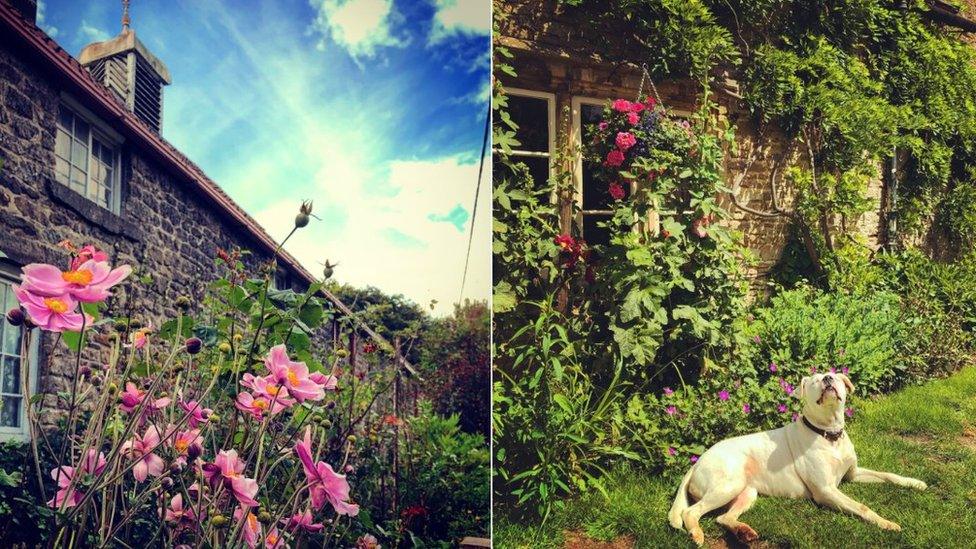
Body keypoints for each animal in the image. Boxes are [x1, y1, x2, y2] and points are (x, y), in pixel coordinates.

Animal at [668, 370, 928, 544]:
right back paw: (697, 534)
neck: (829, 434)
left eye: (833, 375)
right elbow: (862, 507)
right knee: (690, 512)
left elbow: (888, 475)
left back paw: (744, 532)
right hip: (728, 484)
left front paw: (914, 483)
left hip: (747, 492)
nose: (828, 378)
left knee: (723, 518)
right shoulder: (826, 490)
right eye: (814, 380)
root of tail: (697, 462)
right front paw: (886, 523)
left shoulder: (852, 474)